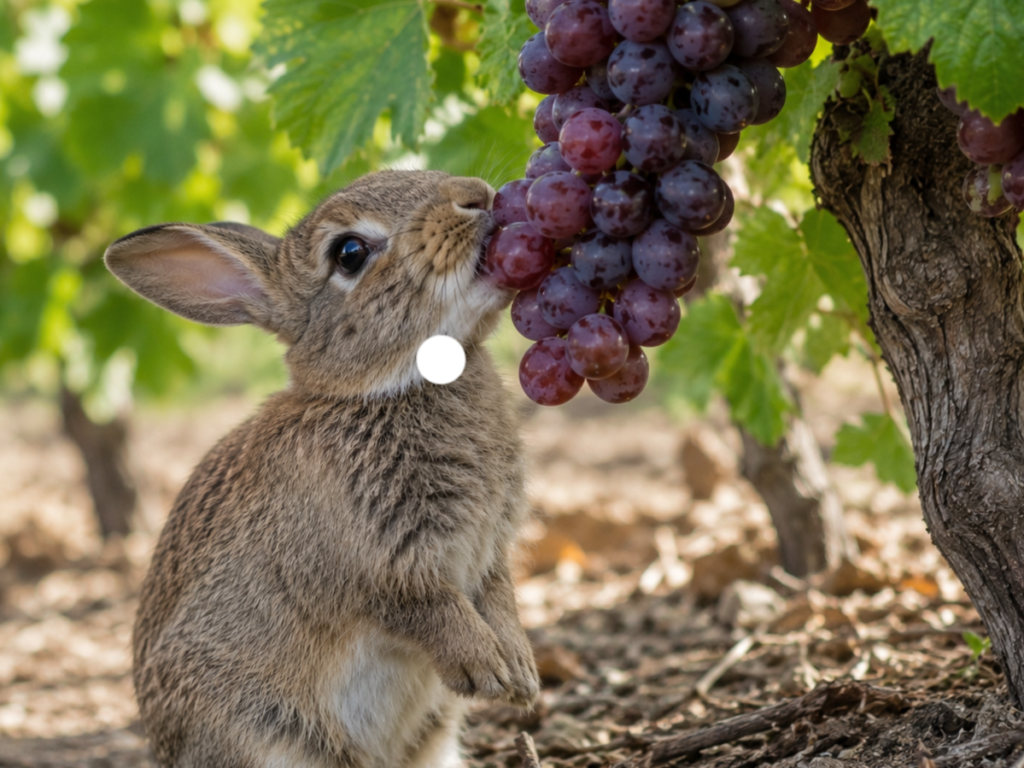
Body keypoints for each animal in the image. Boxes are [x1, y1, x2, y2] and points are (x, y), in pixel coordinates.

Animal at [104, 170, 540, 768]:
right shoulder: (378, 573)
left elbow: (499, 597)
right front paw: (487, 668)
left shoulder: (490, 551)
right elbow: (431, 610)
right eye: (349, 253)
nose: (475, 194)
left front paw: (521, 672)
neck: (382, 389)